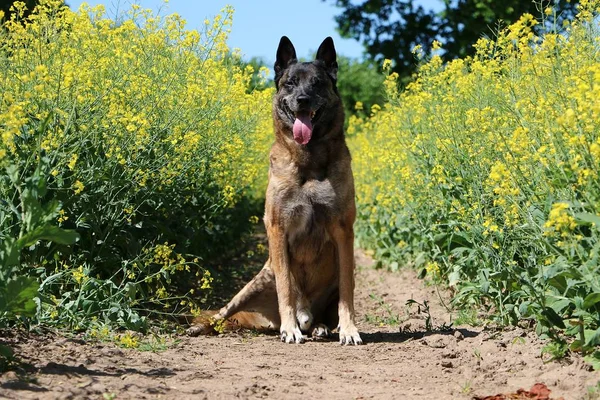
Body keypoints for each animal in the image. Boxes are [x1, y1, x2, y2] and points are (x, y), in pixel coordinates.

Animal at [188, 36, 364, 346]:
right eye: (290, 83)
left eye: (317, 83)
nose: (302, 100)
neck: (308, 161)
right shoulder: (277, 228)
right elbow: (286, 288)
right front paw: (290, 329)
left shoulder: (344, 230)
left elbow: (347, 289)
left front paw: (349, 330)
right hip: (252, 285)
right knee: (220, 313)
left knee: (320, 316)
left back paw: (318, 327)